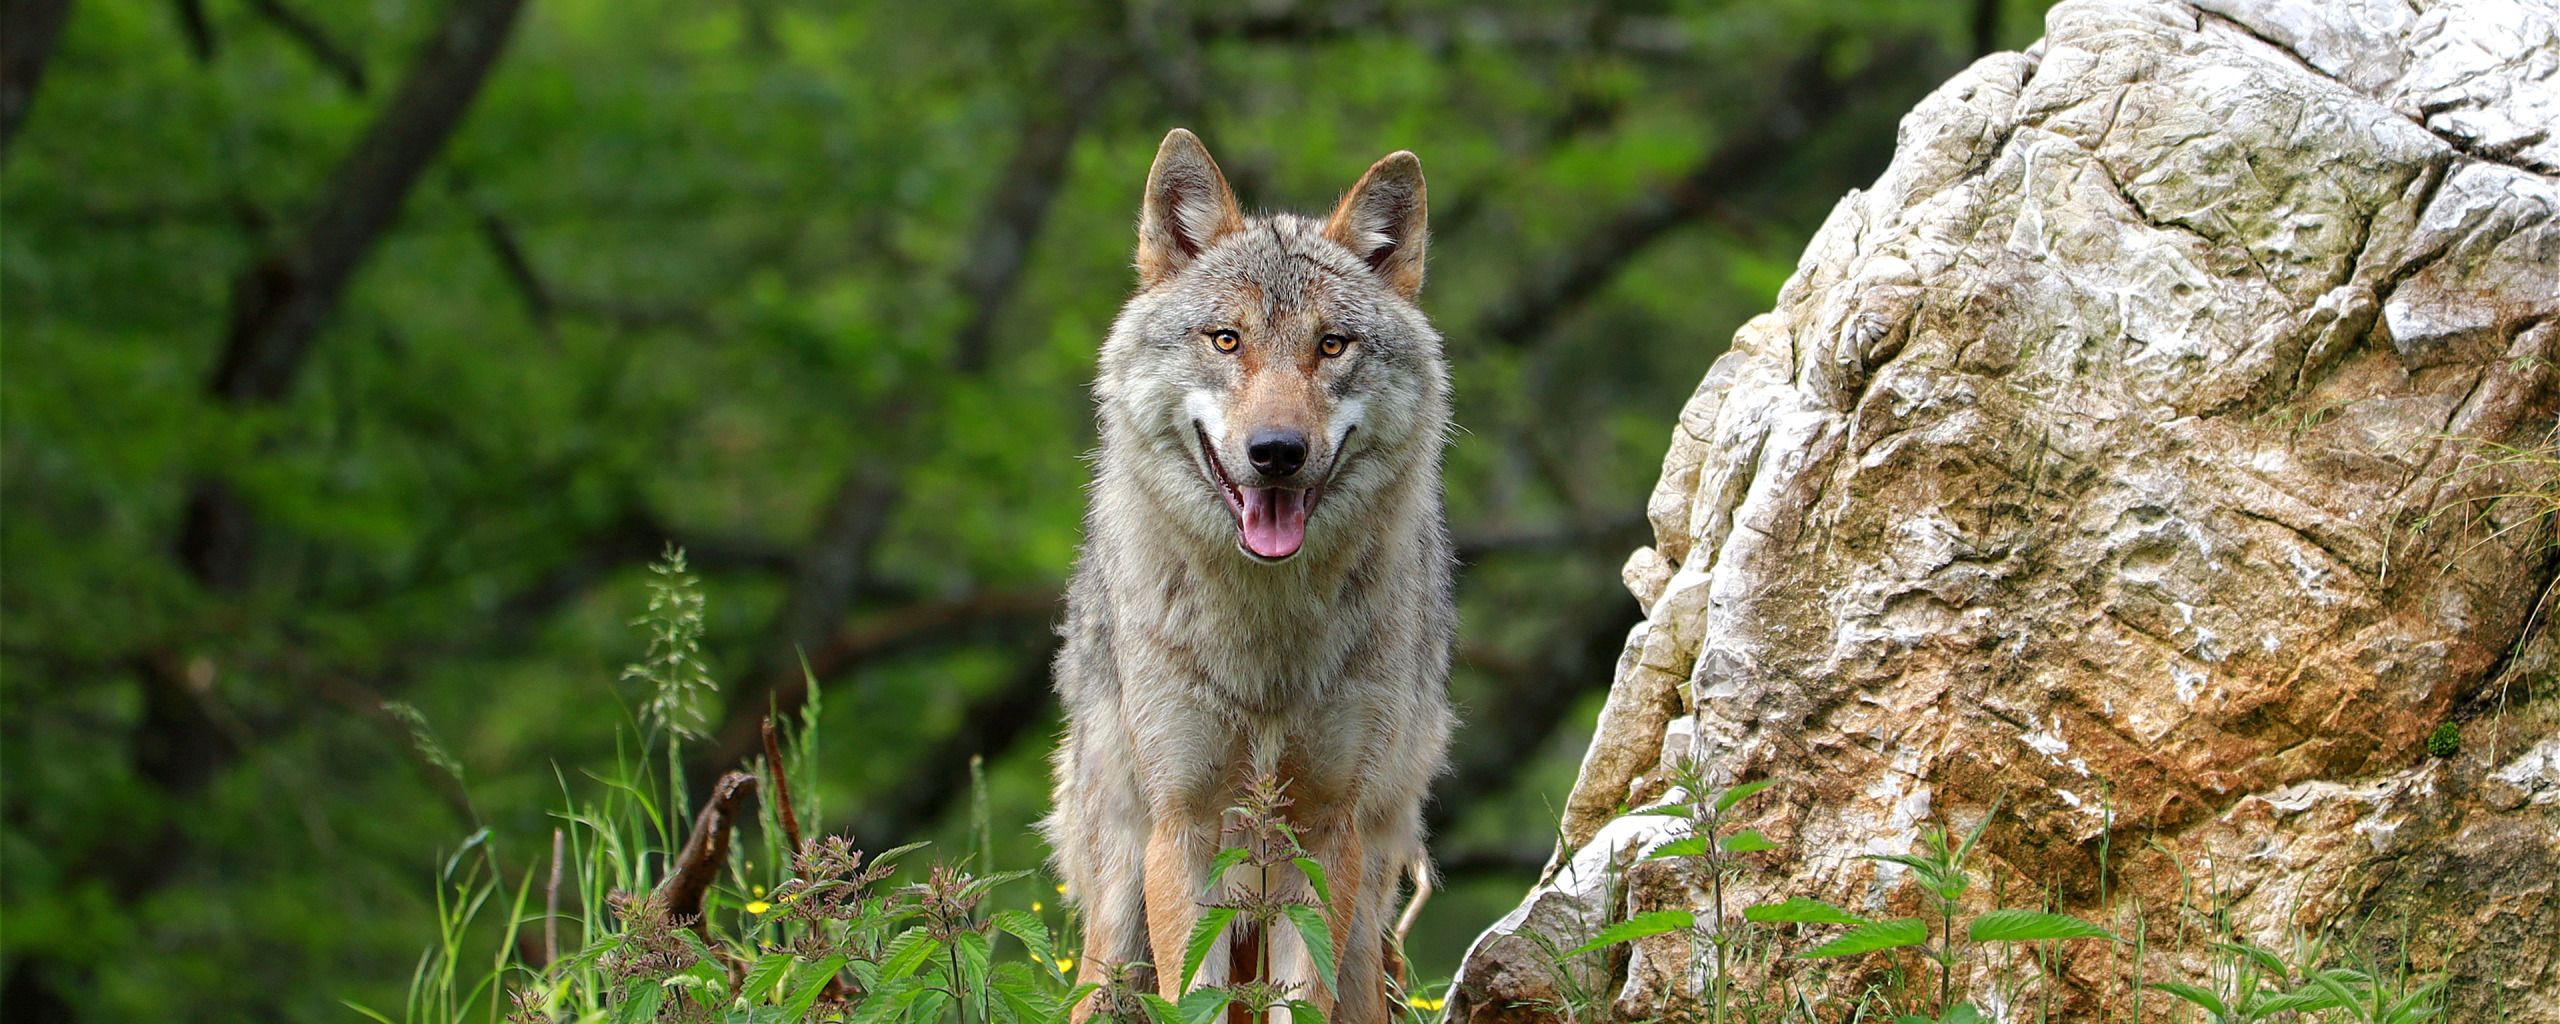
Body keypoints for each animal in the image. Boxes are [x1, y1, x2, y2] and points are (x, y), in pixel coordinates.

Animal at [1034, 129, 1443, 1024]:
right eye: (1227, 339)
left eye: (1331, 345)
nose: (1277, 452)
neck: (1265, 647)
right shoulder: (1183, 828)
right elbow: (1194, 997)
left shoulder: (1326, 834)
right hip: (1116, 924)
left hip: (1365, 927)